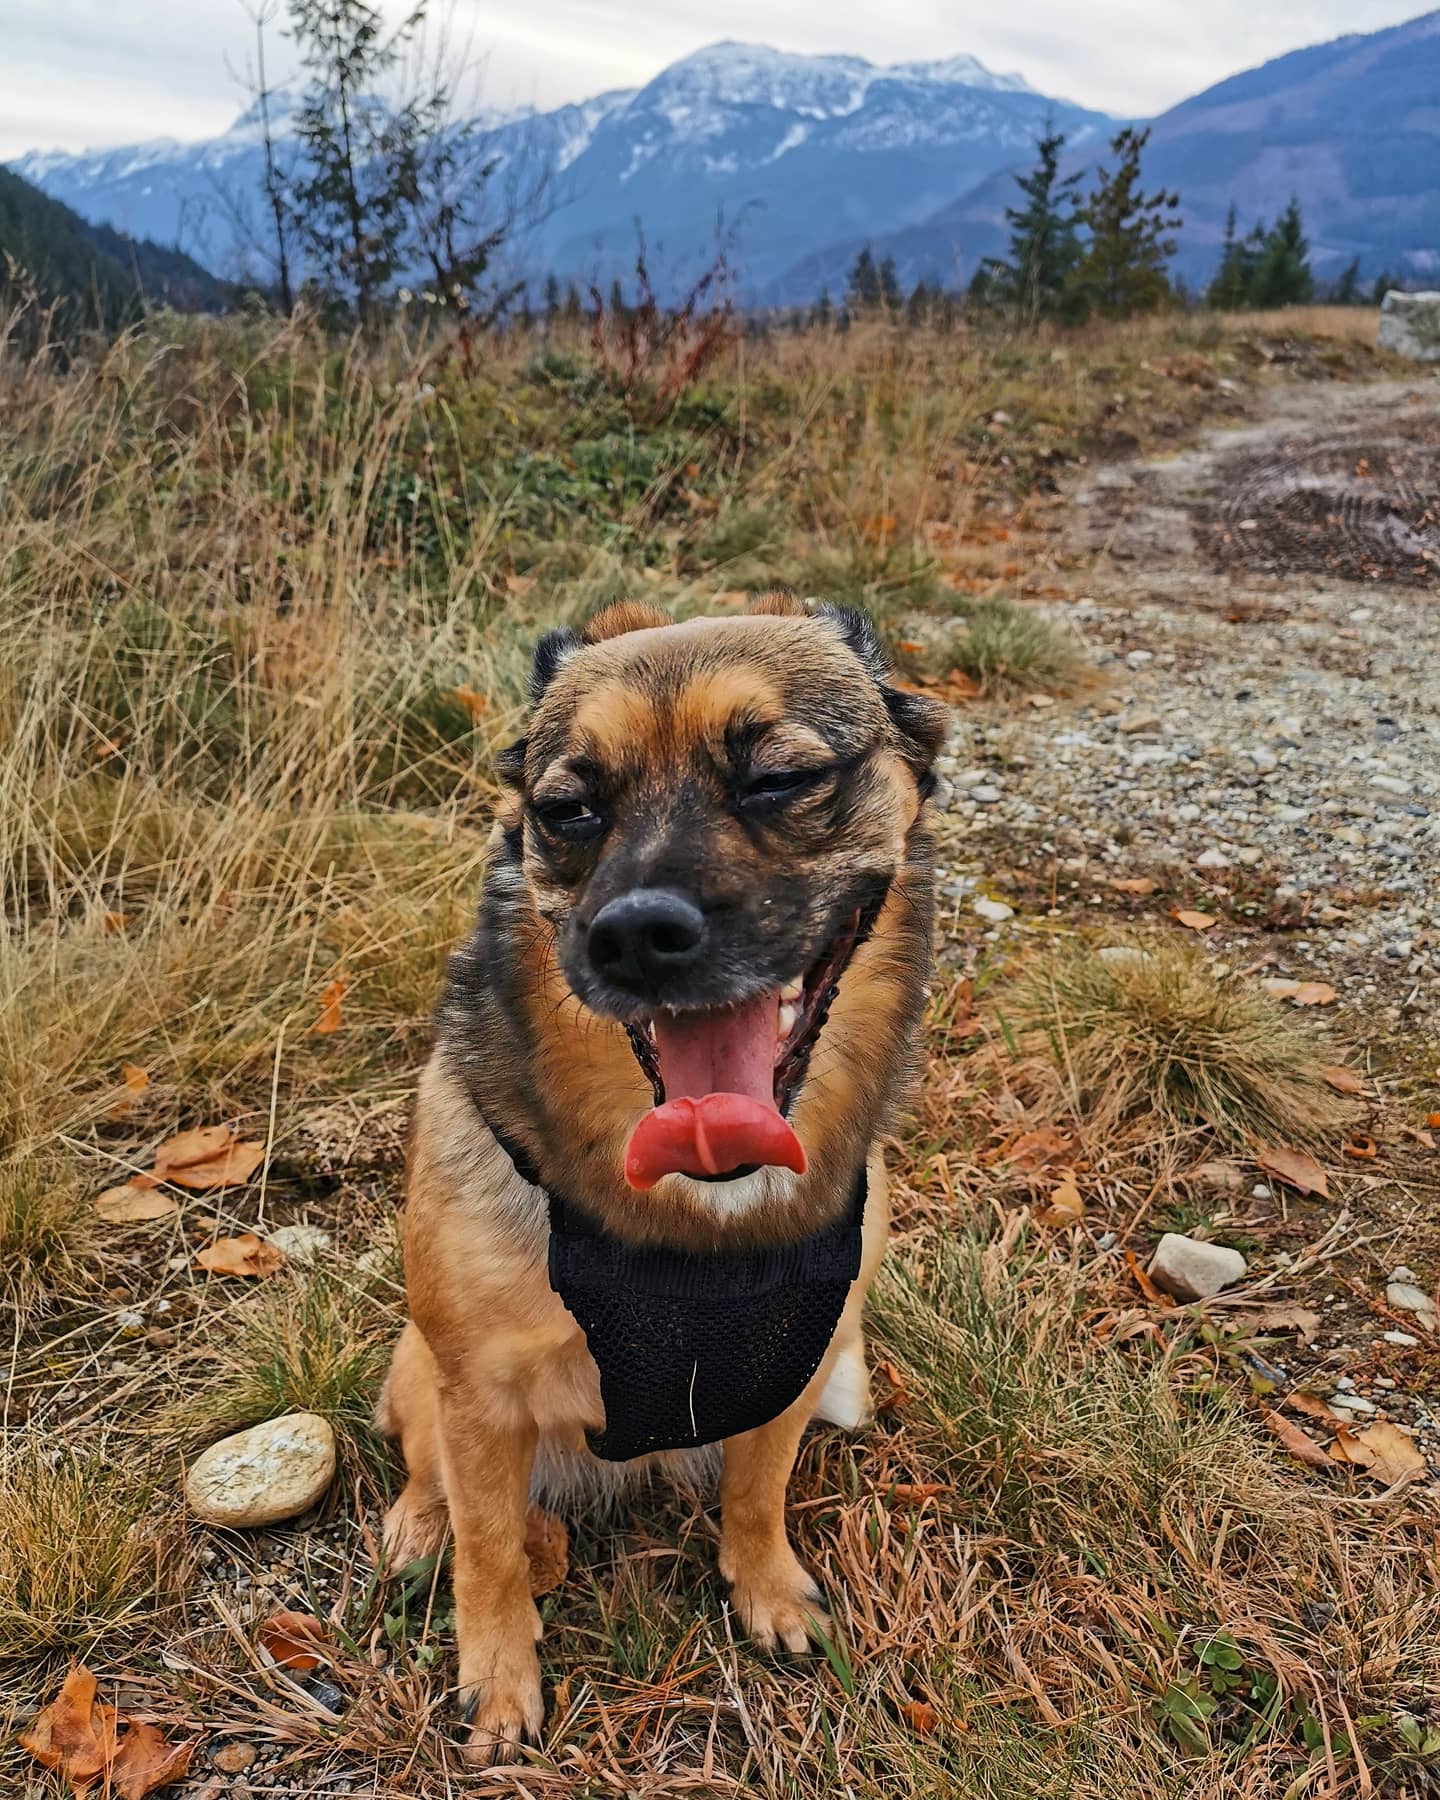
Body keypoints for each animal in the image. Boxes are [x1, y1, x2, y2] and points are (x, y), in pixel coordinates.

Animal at [376, 590, 946, 1762]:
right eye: (567, 810)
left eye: (779, 779)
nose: (636, 935)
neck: (699, 1223)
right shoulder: (478, 1395)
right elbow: (490, 1548)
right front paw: (497, 1679)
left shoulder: (796, 1364)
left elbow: (759, 1493)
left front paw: (763, 1588)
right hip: (420, 1364)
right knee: (428, 1471)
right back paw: (416, 1523)